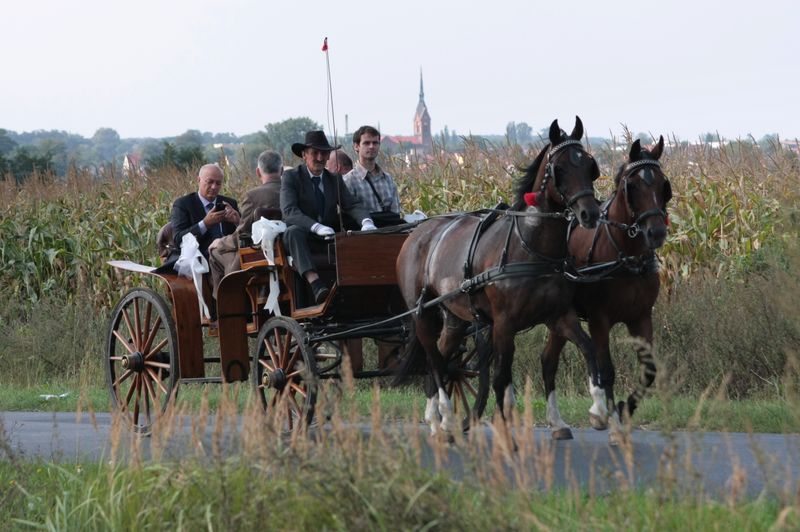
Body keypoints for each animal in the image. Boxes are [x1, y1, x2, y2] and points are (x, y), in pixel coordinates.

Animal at [396, 117, 604, 436]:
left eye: (590, 166)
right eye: (560, 168)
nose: (590, 214)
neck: (530, 246)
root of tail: (417, 231)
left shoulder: (559, 316)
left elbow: (590, 350)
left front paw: (597, 410)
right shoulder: (504, 323)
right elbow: (501, 378)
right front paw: (506, 427)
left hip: (454, 317)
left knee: (442, 358)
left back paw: (436, 419)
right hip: (421, 314)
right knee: (434, 360)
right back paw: (444, 412)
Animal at [540, 135, 672, 442]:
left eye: (664, 186)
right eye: (632, 187)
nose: (656, 232)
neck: (626, 255)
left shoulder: (641, 317)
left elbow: (648, 371)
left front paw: (624, 409)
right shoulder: (599, 319)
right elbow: (606, 369)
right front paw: (610, 421)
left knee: (548, 360)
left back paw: (558, 424)